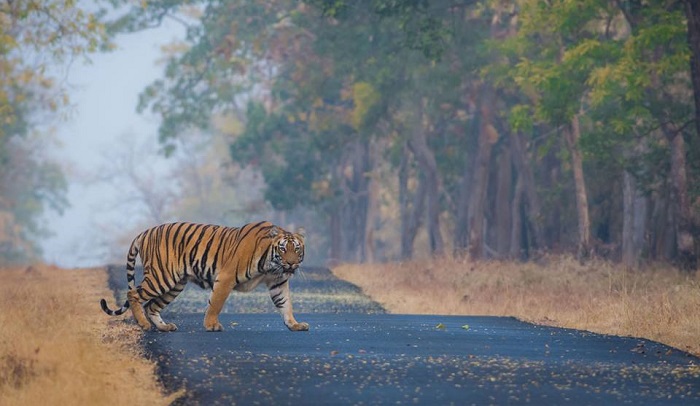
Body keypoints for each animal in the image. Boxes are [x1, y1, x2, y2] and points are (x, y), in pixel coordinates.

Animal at [100, 220, 308, 332]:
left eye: (296, 249)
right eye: (283, 249)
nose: (291, 264)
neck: (271, 265)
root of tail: (145, 232)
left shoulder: (278, 282)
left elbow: (285, 304)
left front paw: (294, 325)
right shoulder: (226, 277)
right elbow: (216, 303)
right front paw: (211, 325)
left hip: (175, 285)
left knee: (151, 305)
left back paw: (164, 327)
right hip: (161, 277)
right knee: (133, 294)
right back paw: (143, 324)